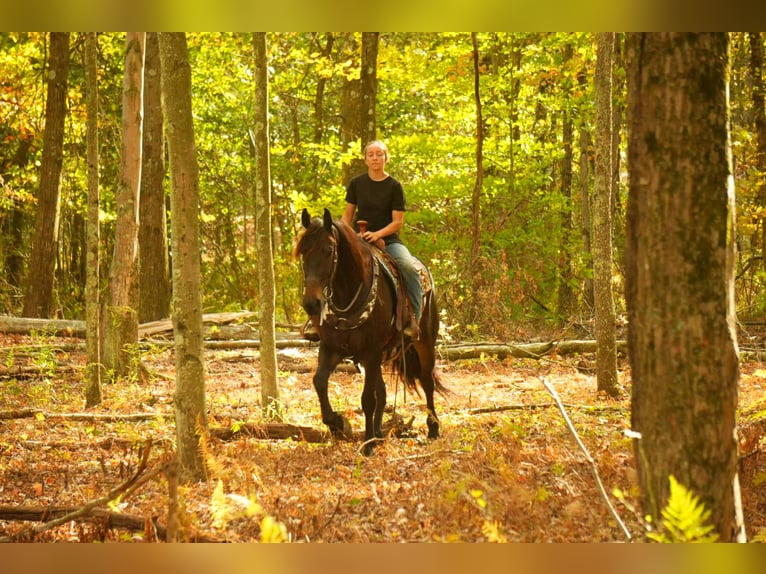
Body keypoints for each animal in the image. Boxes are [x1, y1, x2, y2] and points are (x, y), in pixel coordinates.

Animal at [294, 208, 447, 454]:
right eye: (303, 252)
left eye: (328, 250)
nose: (311, 303)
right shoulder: (331, 348)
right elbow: (319, 382)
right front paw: (339, 425)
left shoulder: (372, 350)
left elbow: (368, 399)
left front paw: (366, 444)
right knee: (383, 391)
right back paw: (378, 433)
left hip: (424, 343)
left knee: (427, 381)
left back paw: (432, 428)